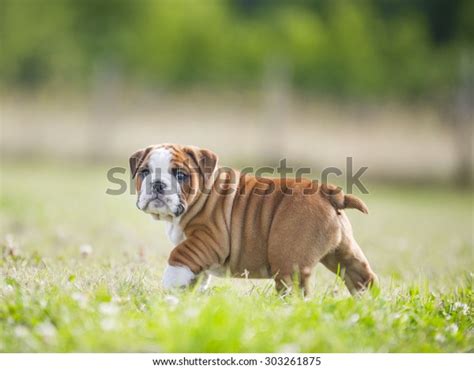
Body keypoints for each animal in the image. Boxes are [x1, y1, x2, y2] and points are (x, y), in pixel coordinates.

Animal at [130, 143, 378, 294]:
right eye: (144, 172)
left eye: (180, 175)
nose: (157, 184)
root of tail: (328, 192)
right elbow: (197, 274)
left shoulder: (207, 240)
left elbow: (178, 256)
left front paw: (169, 288)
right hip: (344, 254)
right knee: (362, 277)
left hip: (289, 262)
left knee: (297, 294)